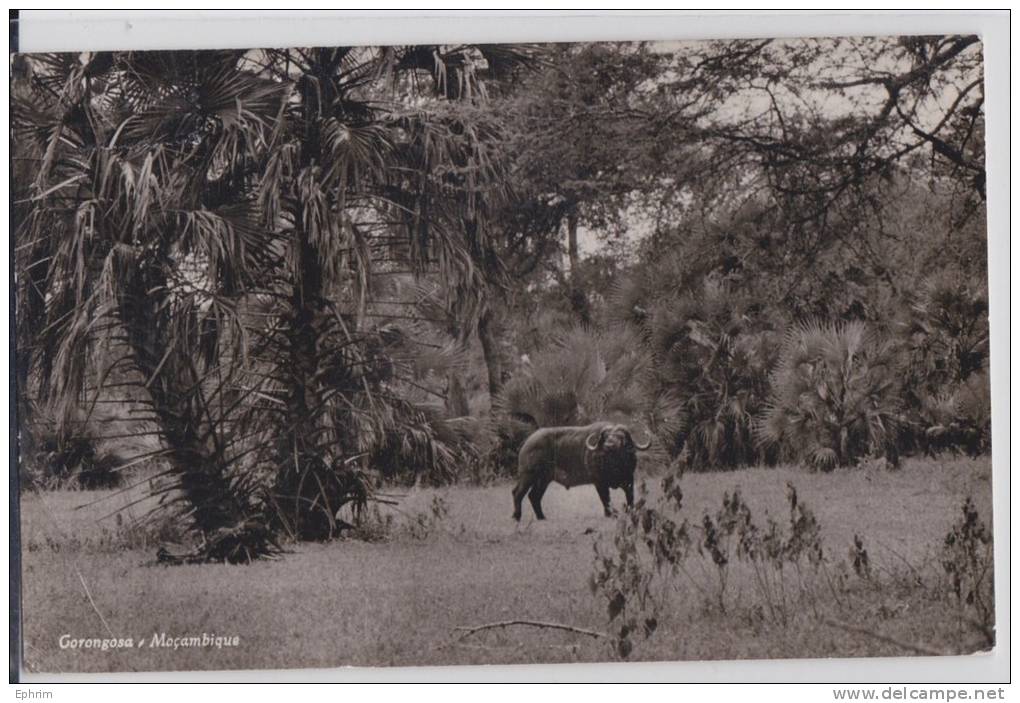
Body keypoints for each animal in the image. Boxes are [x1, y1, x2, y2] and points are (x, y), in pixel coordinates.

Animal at [514, 420, 648, 518]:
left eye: (621, 436)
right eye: (606, 436)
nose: (609, 445)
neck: (614, 464)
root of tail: (528, 441)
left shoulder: (629, 479)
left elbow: (630, 498)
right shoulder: (599, 483)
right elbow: (605, 499)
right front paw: (609, 514)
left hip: (543, 479)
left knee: (534, 496)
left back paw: (541, 517)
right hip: (528, 475)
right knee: (518, 493)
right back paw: (517, 516)